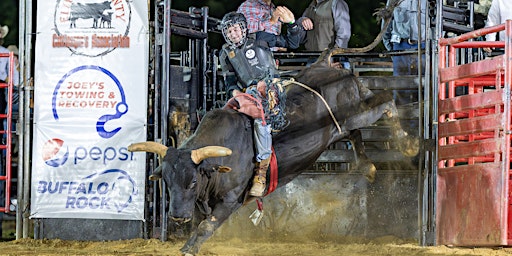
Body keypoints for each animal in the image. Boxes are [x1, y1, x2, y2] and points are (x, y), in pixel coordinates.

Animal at [129, 63, 420, 255]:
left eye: (191, 182)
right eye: (167, 183)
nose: (177, 216)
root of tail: (338, 69)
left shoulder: (230, 200)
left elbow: (205, 228)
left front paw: (189, 248)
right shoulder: (203, 202)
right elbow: (199, 226)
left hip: (359, 110)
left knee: (385, 102)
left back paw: (409, 144)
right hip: (346, 122)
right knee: (355, 132)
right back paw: (368, 167)